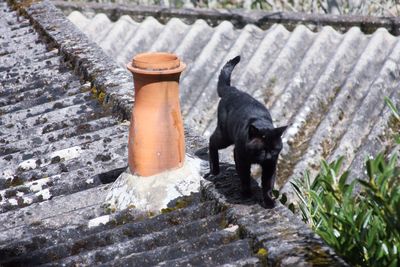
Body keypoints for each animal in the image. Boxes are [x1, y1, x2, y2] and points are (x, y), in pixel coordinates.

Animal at [209, 55, 288, 208]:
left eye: (274, 149)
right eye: (262, 149)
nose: (268, 156)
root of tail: (232, 90)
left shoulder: (271, 165)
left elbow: (268, 184)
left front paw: (269, 201)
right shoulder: (241, 157)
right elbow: (245, 176)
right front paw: (246, 194)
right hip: (224, 136)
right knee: (212, 141)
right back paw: (214, 171)